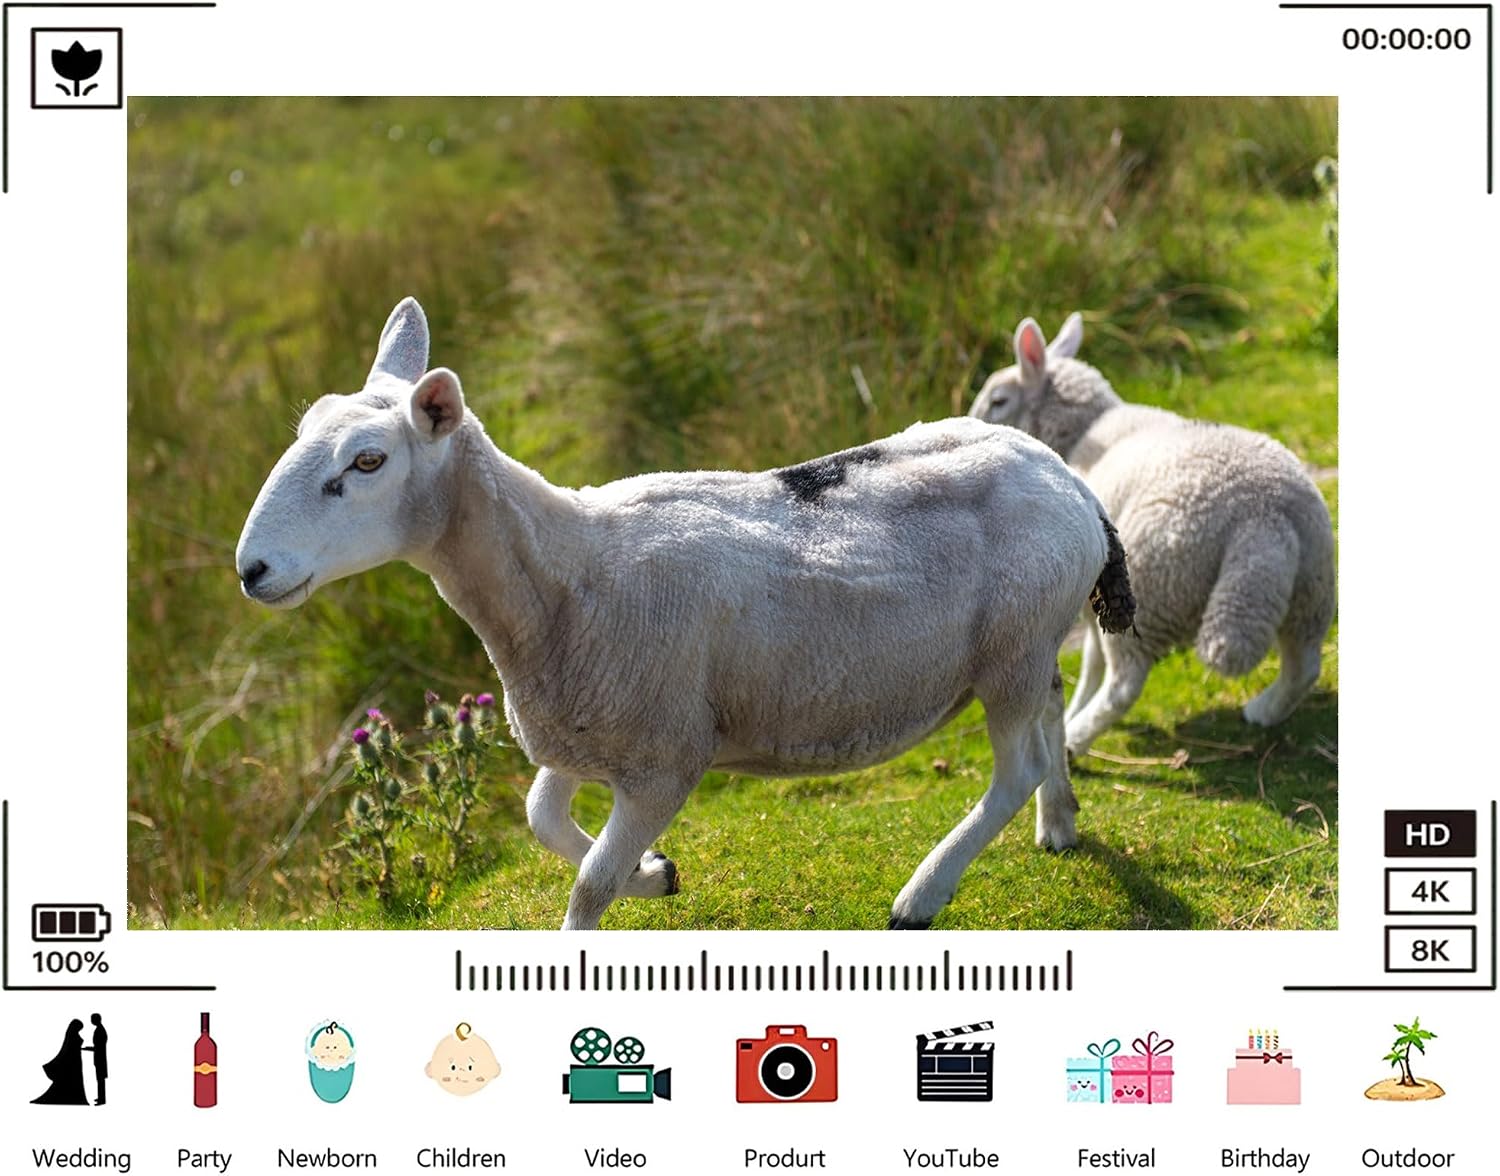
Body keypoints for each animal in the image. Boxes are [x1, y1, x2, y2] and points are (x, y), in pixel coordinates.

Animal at [236, 297, 1136, 930]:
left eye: (367, 462)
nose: (252, 570)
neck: (562, 577)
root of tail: (1066, 477)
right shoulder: (585, 726)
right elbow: (541, 818)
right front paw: (658, 874)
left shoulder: (664, 755)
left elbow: (588, 886)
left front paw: (618, 891)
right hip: (1032, 637)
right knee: (1053, 711)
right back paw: (1060, 824)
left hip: (1008, 648)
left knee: (1015, 768)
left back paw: (923, 892)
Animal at [969, 313, 1335, 758]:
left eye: (999, 401)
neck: (1085, 431)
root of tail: (1262, 515)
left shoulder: (1096, 591)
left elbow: (1092, 663)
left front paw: (1074, 712)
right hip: (1311, 586)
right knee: (1305, 665)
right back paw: (1263, 710)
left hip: (1152, 583)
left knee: (1124, 686)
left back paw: (1078, 740)